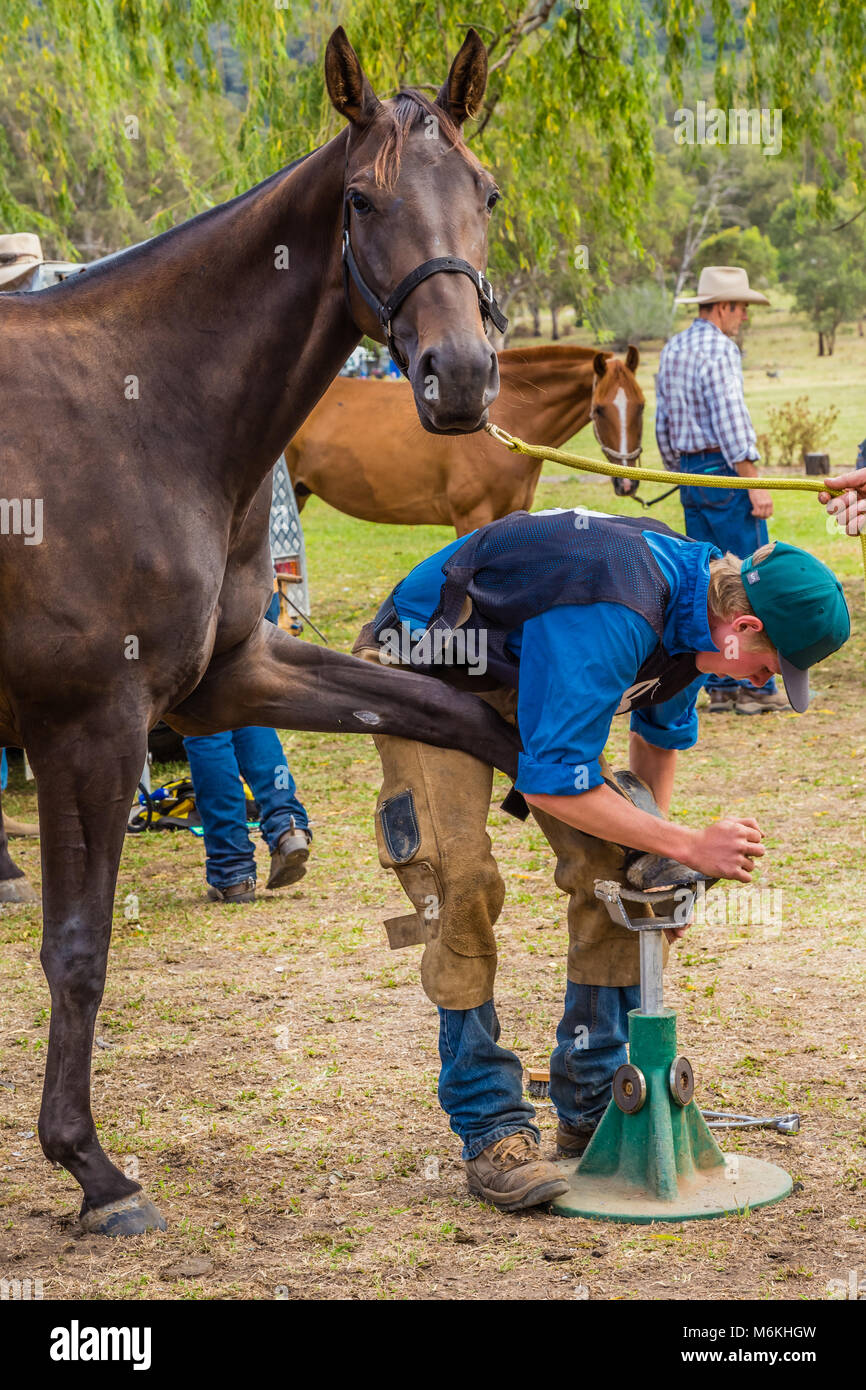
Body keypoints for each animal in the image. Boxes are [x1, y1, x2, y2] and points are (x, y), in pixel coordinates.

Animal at [0, 27, 522, 1234]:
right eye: (364, 199)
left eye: (483, 189)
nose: (461, 378)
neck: (142, 409)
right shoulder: (87, 728)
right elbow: (78, 951)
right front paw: (90, 1168)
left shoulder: (233, 676)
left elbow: (455, 715)